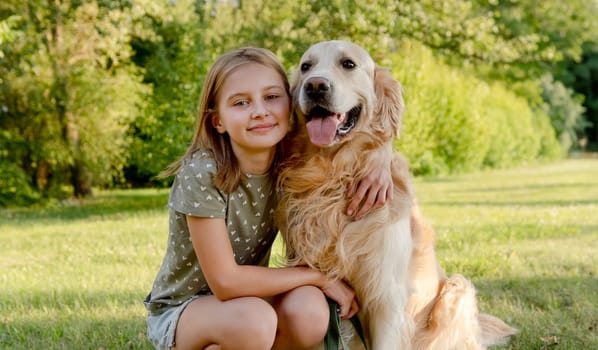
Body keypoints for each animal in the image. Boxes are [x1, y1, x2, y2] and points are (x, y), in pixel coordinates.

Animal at [276, 39, 516, 348]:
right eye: (306, 66)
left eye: (348, 64)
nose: (315, 86)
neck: (335, 174)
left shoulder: (385, 298)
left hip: (457, 290)